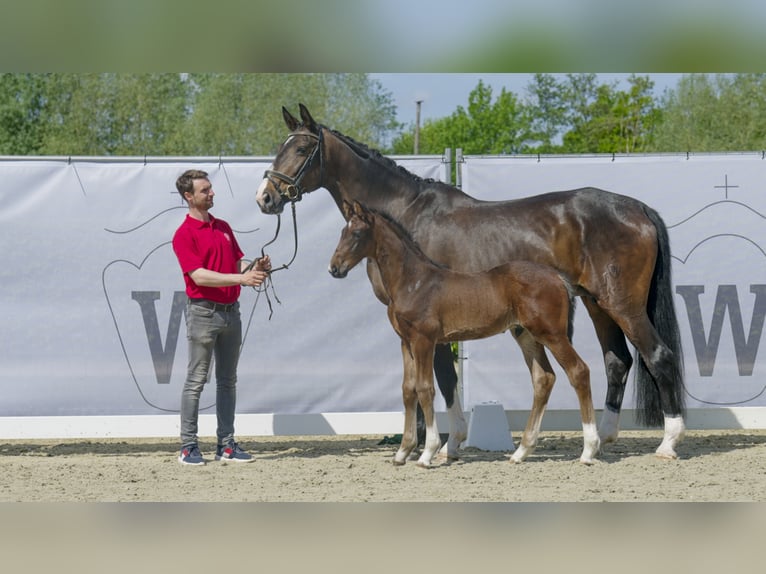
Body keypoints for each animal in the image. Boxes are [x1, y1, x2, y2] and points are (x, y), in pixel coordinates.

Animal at [330, 202, 600, 468]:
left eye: (356, 233)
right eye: (342, 232)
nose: (334, 267)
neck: (413, 281)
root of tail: (558, 277)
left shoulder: (424, 340)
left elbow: (425, 389)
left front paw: (427, 453)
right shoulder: (405, 342)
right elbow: (408, 390)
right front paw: (402, 452)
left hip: (552, 334)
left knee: (578, 371)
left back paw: (588, 450)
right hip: (526, 335)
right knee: (543, 379)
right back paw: (521, 452)